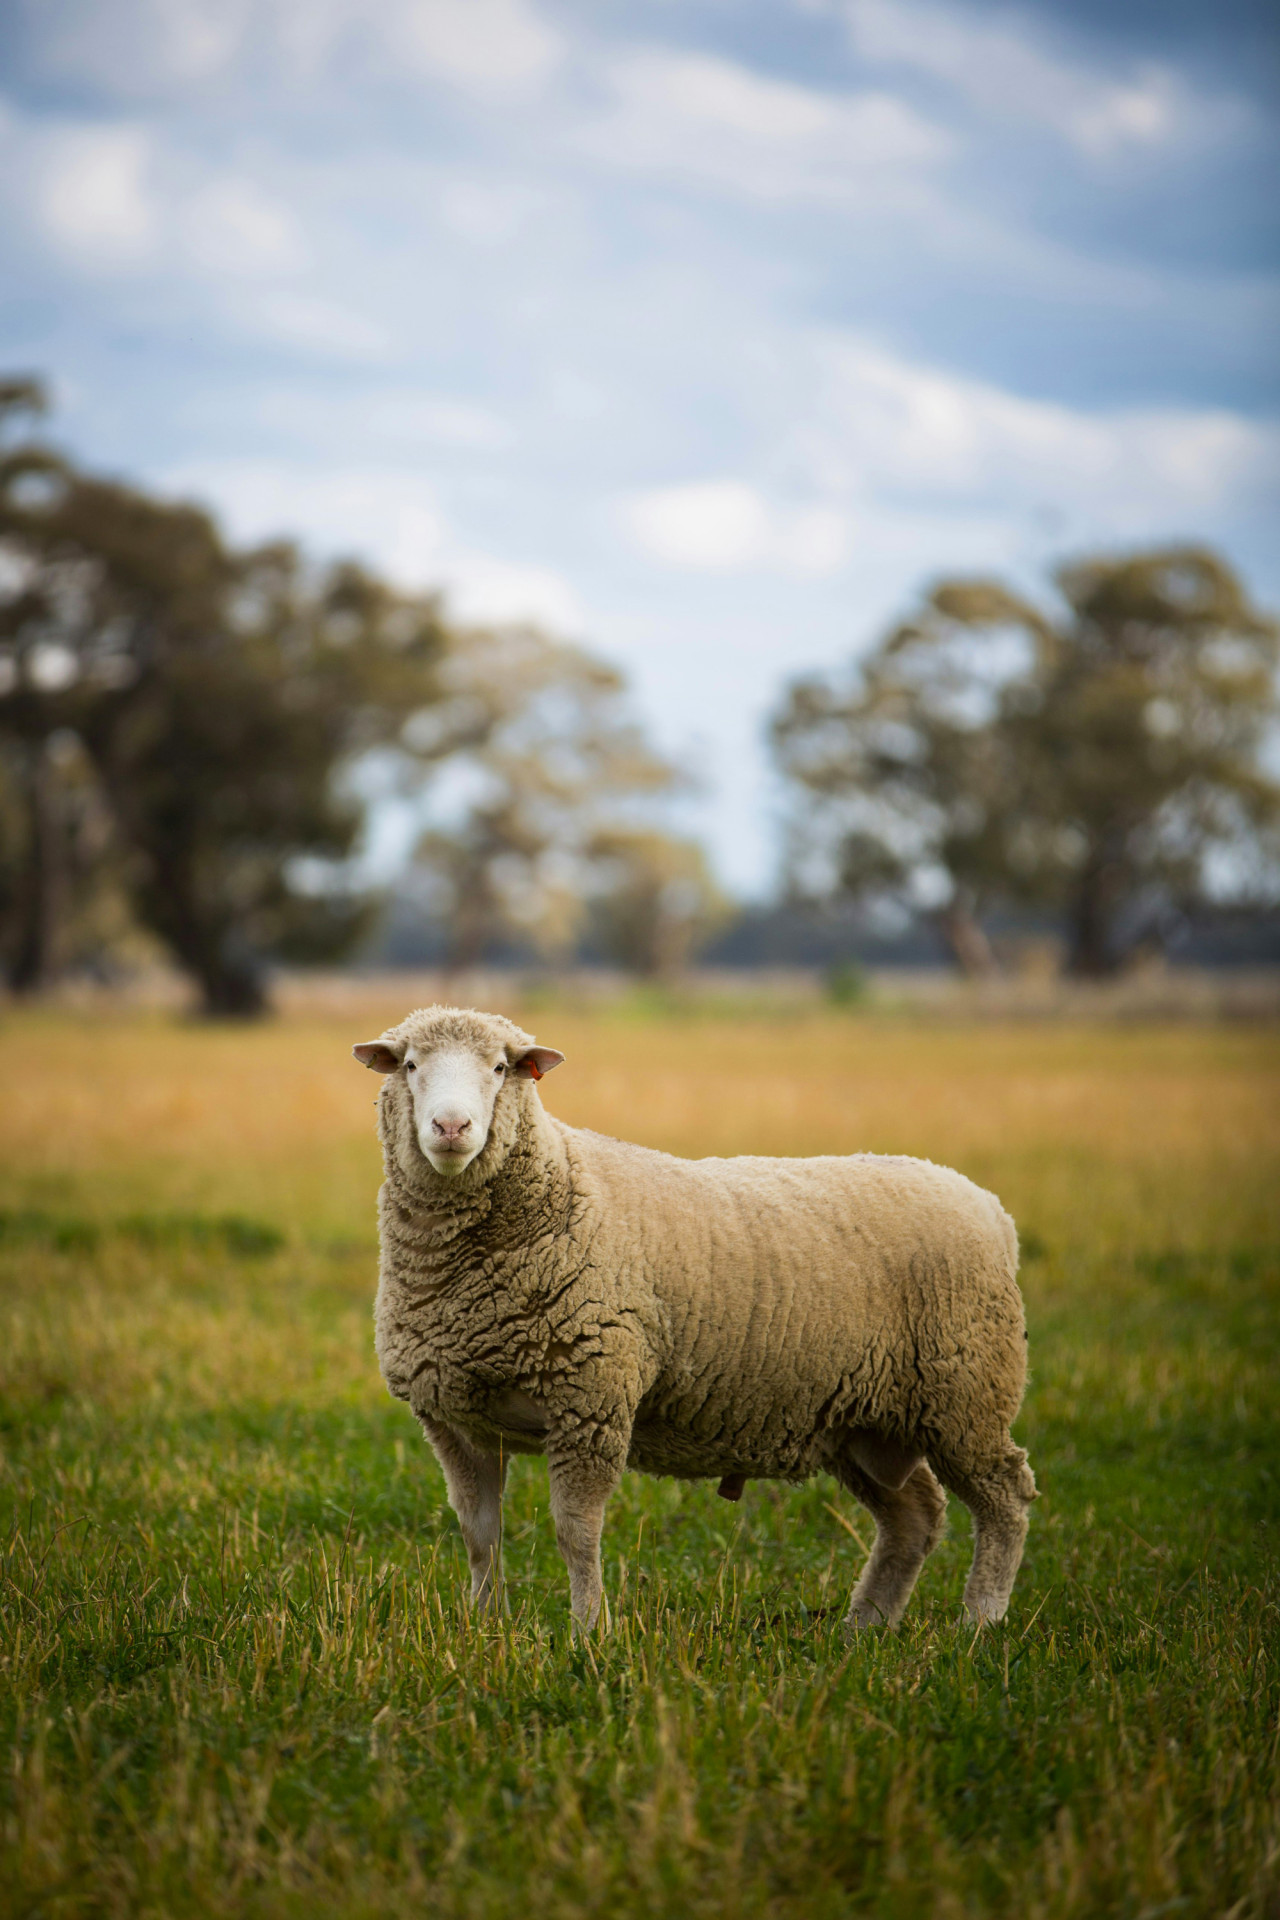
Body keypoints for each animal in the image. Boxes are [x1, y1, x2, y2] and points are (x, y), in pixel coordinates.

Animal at [355, 1004, 1037, 1634]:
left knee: (1005, 1497)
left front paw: (587, 1631)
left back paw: (981, 1620)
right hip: (865, 1419)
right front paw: (484, 1627)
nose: (451, 1126)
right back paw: (864, 1627)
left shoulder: (590, 1402)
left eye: (501, 1068)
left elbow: (576, 1533)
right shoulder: (453, 1419)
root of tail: (991, 1208)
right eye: (409, 1065)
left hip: (967, 1391)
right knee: (913, 1516)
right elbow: (479, 1535)